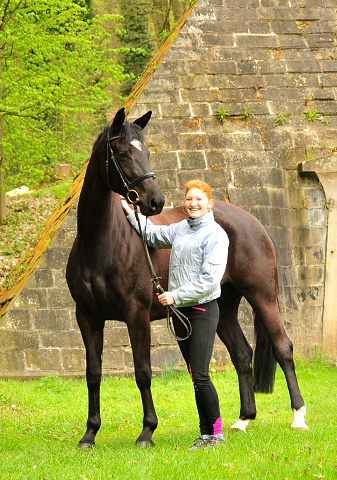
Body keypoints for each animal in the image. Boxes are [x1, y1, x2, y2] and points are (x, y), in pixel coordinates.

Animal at [65, 107, 308, 448]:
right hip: (225, 309)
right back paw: (242, 420)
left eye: (147, 152)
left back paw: (298, 417)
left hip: (263, 296)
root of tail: (254, 223)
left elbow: (143, 372)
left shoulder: (136, 314)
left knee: (283, 348)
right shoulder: (87, 317)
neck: (101, 242)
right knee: (242, 354)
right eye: (123, 153)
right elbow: (93, 374)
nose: (155, 201)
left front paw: (147, 432)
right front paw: (89, 433)